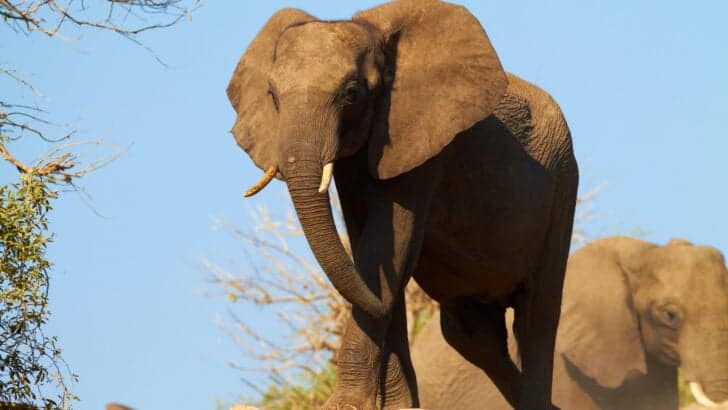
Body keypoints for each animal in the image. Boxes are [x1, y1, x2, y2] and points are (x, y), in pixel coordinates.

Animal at [226, 1, 578, 408]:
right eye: (272, 96)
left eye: (351, 92)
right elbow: (369, 246)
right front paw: (397, 404)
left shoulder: (420, 141)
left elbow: (388, 241)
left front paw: (349, 403)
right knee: (472, 335)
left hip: (563, 184)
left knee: (536, 316)